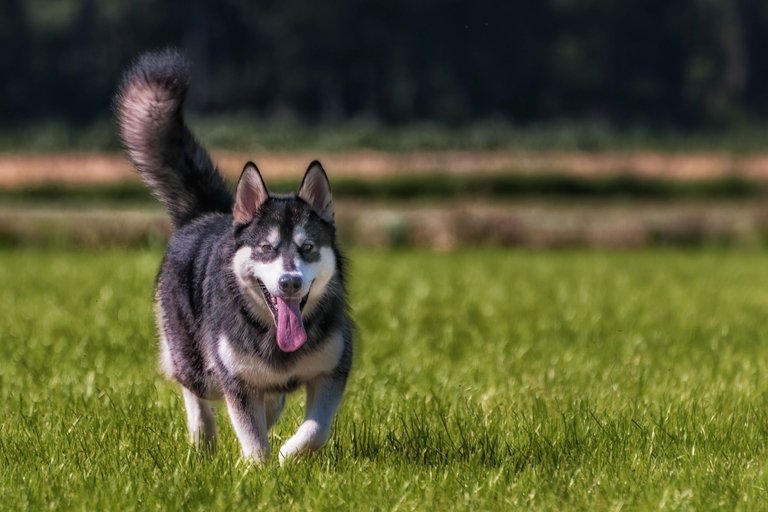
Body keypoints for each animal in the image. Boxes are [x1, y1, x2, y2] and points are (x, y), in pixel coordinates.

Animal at [114, 49, 354, 464]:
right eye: (266, 249)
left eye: (307, 248)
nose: (289, 282)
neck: (275, 338)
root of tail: (206, 214)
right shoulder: (235, 379)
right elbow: (251, 435)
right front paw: (260, 467)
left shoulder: (332, 368)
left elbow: (315, 430)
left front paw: (288, 454)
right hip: (196, 360)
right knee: (192, 387)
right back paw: (202, 435)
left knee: (270, 400)